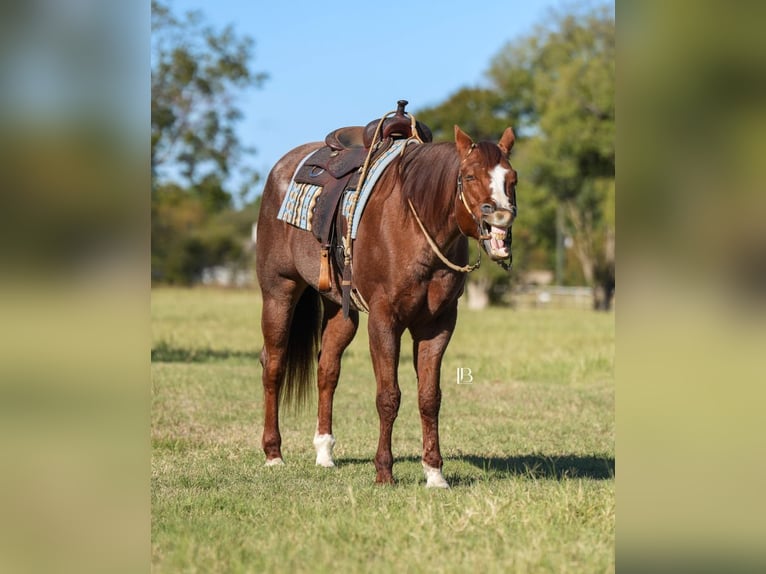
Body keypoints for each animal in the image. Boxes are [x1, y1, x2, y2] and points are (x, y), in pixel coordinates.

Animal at [255, 121, 517, 487]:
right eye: (469, 176)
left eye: (512, 178)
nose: (502, 218)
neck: (416, 225)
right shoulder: (384, 320)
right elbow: (388, 396)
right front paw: (384, 472)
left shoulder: (438, 325)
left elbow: (429, 398)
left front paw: (434, 472)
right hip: (278, 292)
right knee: (274, 365)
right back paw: (273, 454)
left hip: (341, 311)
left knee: (327, 369)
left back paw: (324, 452)